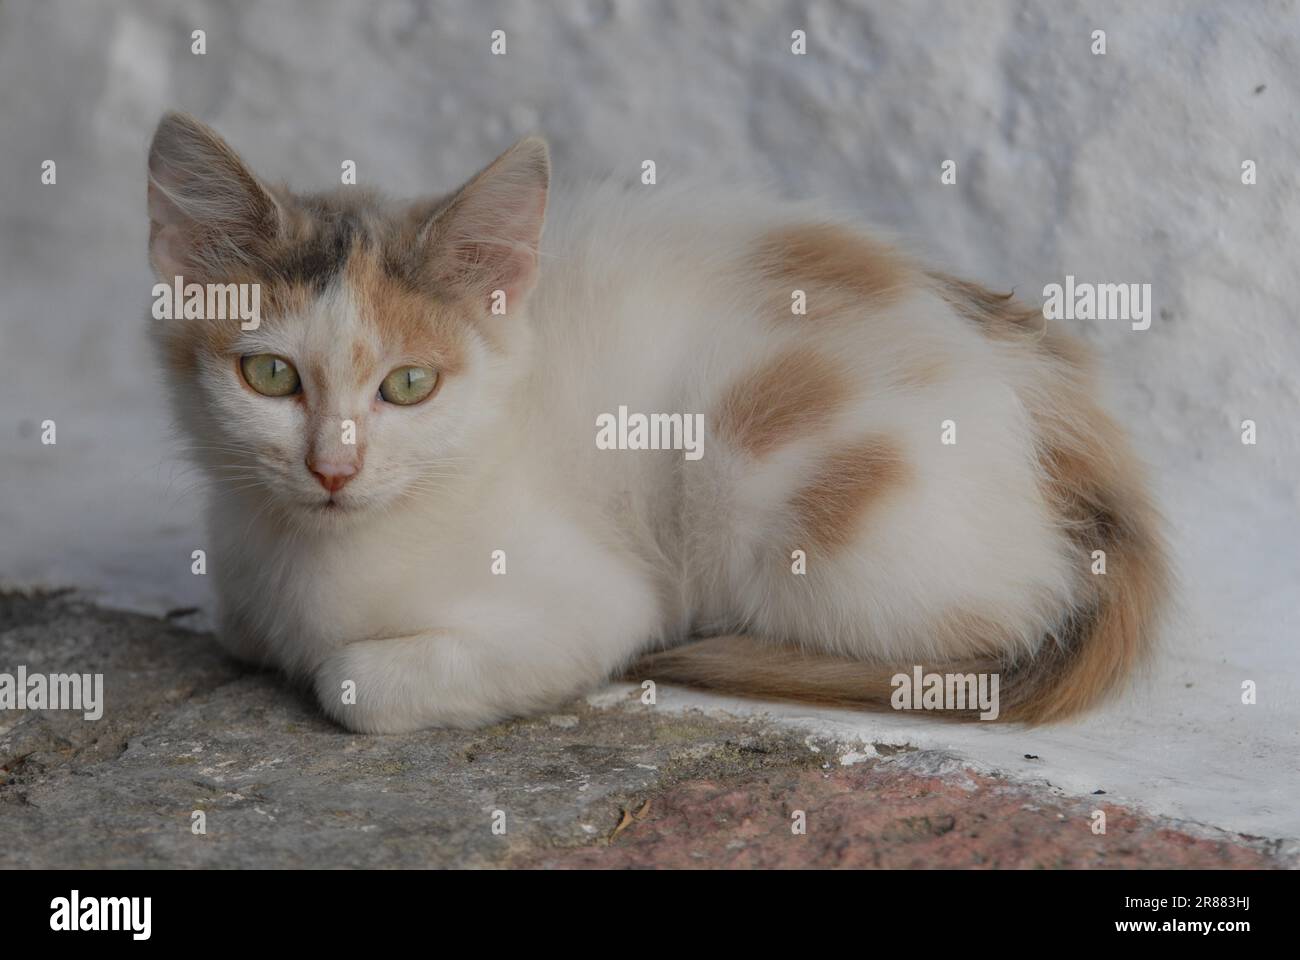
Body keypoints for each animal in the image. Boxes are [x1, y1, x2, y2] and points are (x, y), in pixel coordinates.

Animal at [149, 111, 1170, 728]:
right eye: (270, 375)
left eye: (408, 386)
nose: (334, 469)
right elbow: (238, 627)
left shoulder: (595, 602)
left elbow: (353, 680)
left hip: (777, 495)